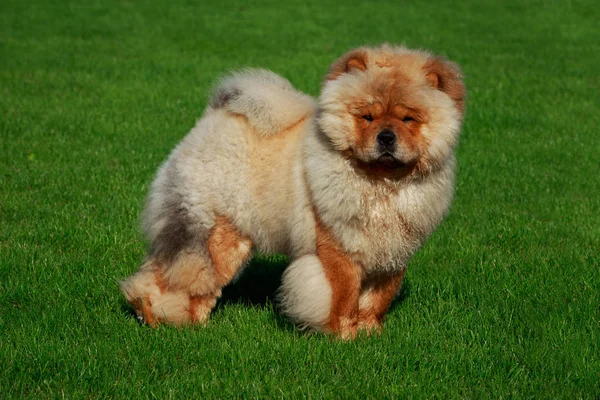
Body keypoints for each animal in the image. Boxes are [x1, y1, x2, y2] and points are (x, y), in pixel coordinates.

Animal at [120, 43, 464, 338]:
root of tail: (211, 119)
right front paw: (342, 337)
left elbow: (376, 299)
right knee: (182, 278)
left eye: (409, 119)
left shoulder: (391, 254)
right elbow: (343, 296)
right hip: (216, 235)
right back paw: (170, 321)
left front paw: (370, 333)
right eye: (367, 117)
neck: (382, 184)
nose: (386, 136)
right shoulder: (336, 246)